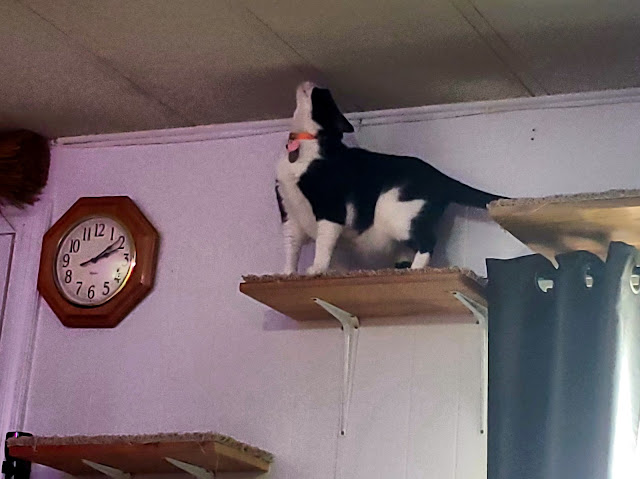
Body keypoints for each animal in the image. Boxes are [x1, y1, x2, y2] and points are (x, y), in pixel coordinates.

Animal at [276, 82, 504, 276]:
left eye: (322, 94)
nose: (312, 83)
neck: (305, 146)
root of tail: (439, 176)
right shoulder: (290, 214)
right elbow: (291, 246)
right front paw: (287, 274)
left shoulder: (331, 208)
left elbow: (324, 243)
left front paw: (317, 269)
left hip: (397, 215)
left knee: (428, 241)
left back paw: (415, 270)